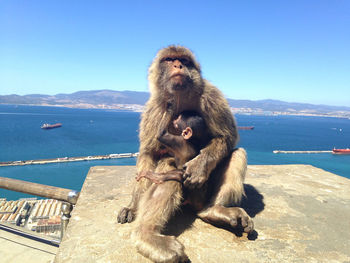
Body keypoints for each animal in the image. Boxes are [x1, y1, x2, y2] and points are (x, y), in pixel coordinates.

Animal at [117, 46, 252, 262]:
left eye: (184, 60)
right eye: (169, 59)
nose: (178, 65)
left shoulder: (211, 95)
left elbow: (226, 137)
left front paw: (198, 167)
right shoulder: (154, 108)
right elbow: (149, 153)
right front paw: (133, 206)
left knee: (237, 154)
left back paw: (213, 211)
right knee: (167, 171)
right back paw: (147, 234)